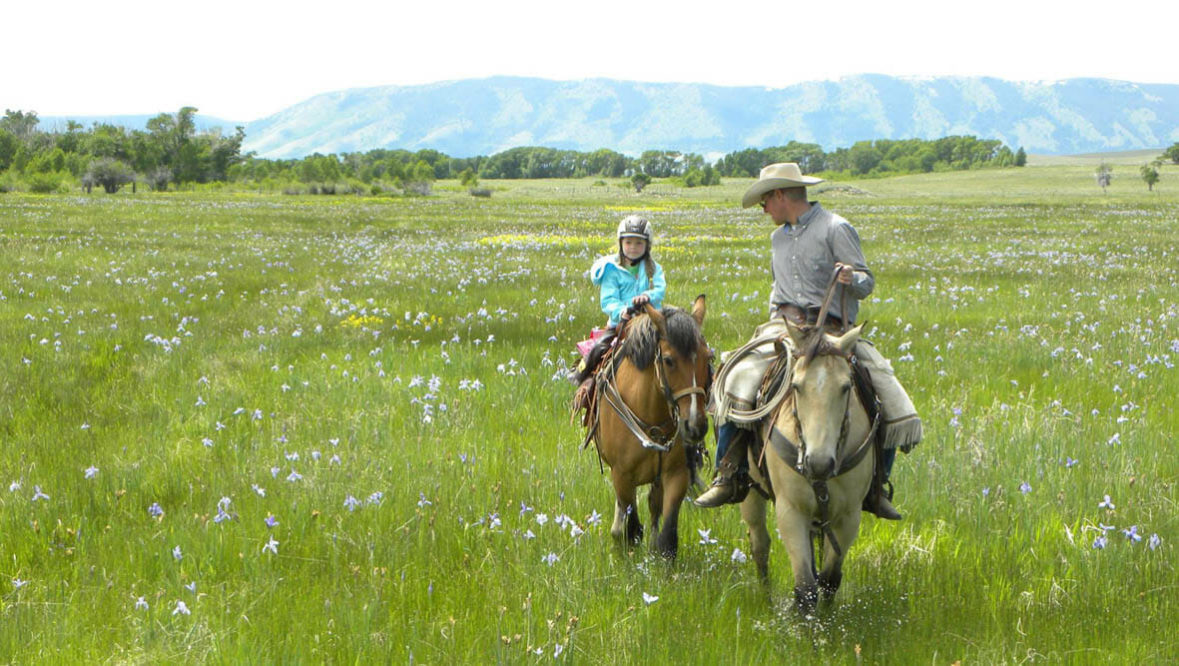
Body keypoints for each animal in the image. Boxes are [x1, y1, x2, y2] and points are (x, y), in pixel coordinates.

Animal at [590, 295, 711, 559]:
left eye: (708, 358)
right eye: (668, 360)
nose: (695, 425)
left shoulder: (676, 473)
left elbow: (668, 537)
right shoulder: (623, 476)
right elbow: (633, 529)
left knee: (655, 506)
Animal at [739, 319, 877, 614]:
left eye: (846, 387)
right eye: (796, 386)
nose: (819, 464)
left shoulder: (849, 516)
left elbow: (829, 579)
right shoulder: (791, 512)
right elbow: (805, 588)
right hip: (751, 494)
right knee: (760, 545)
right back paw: (767, 602)